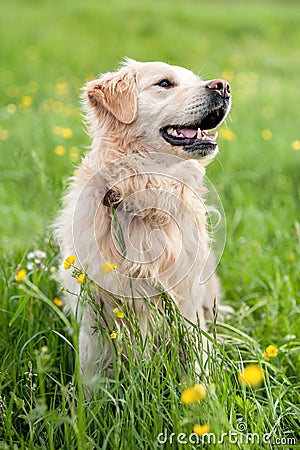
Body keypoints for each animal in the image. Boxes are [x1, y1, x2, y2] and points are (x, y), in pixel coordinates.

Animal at [54, 58, 232, 378]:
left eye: (195, 79)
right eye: (164, 83)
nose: (223, 86)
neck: (147, 195)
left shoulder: (186, 306)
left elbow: (196, 365)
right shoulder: (93, 316)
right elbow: (91, 372)